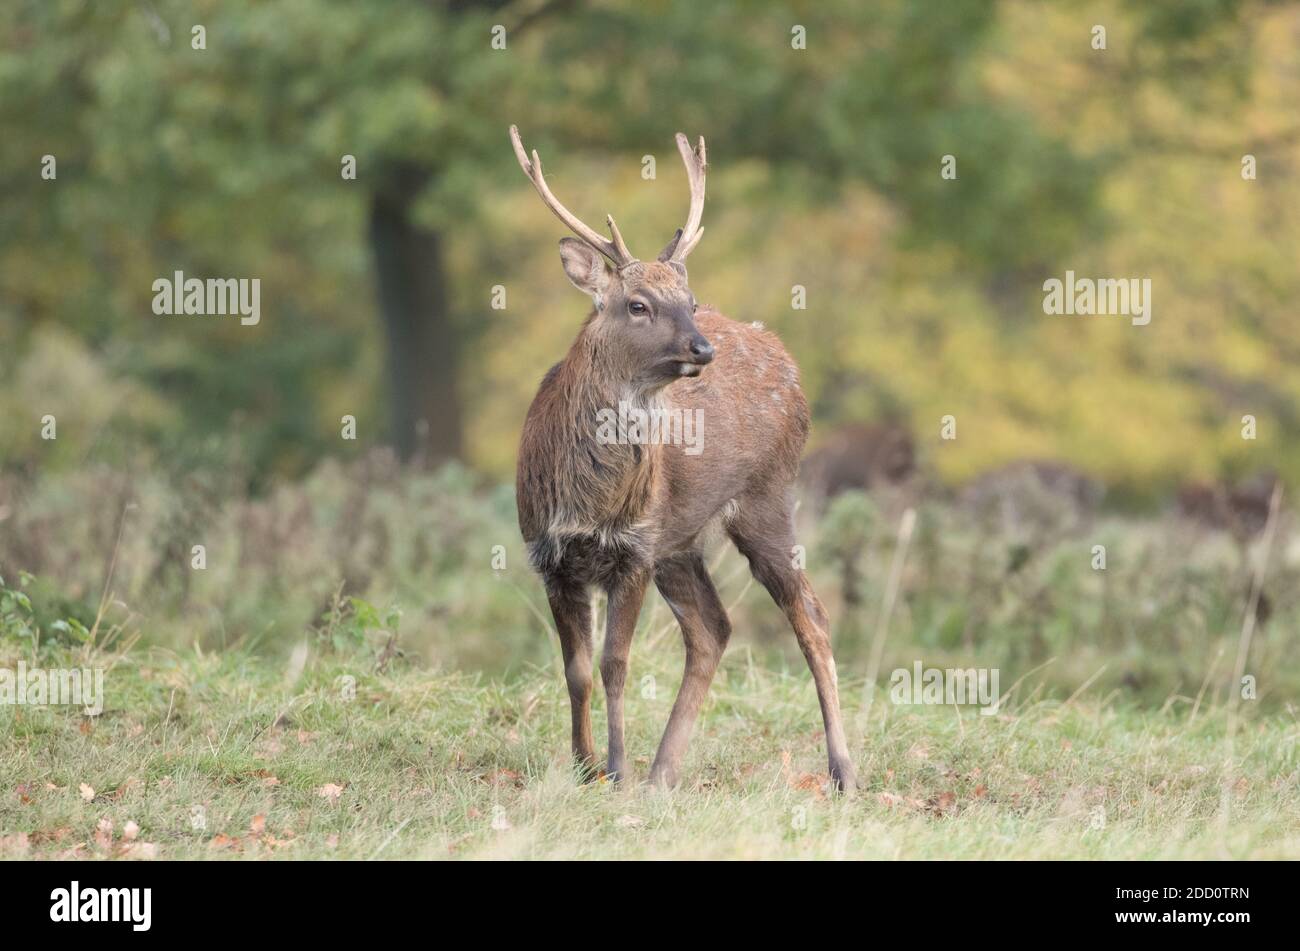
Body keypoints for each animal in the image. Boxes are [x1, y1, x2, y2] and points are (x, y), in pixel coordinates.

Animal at [511, 125, 856, 793]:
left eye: (690, 300)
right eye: (638, 304)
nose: (703, 347)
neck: (589, 501)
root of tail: (785, 358)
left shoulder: (634, 550)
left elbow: (615, 664)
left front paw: (614, 769)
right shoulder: (551, 555)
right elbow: (577, 670)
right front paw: (585, 767)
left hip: (766, 498)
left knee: (811, 614)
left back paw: (844, 770)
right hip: (682, 539)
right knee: (713, 628)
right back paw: (663, 772)